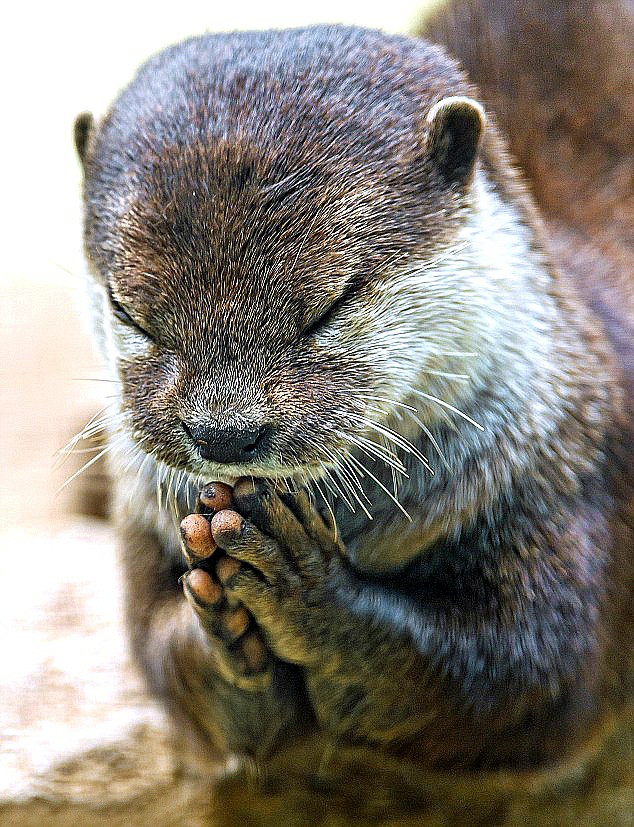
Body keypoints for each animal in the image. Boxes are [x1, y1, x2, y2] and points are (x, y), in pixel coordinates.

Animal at [74, 0, 632, 806]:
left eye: (329, 305)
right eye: (130, 311)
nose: (224, 433)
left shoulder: (573, 473)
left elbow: (530, 678)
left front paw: (310, 593)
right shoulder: (144, 524)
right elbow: (163, 657)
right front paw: (225, 633)